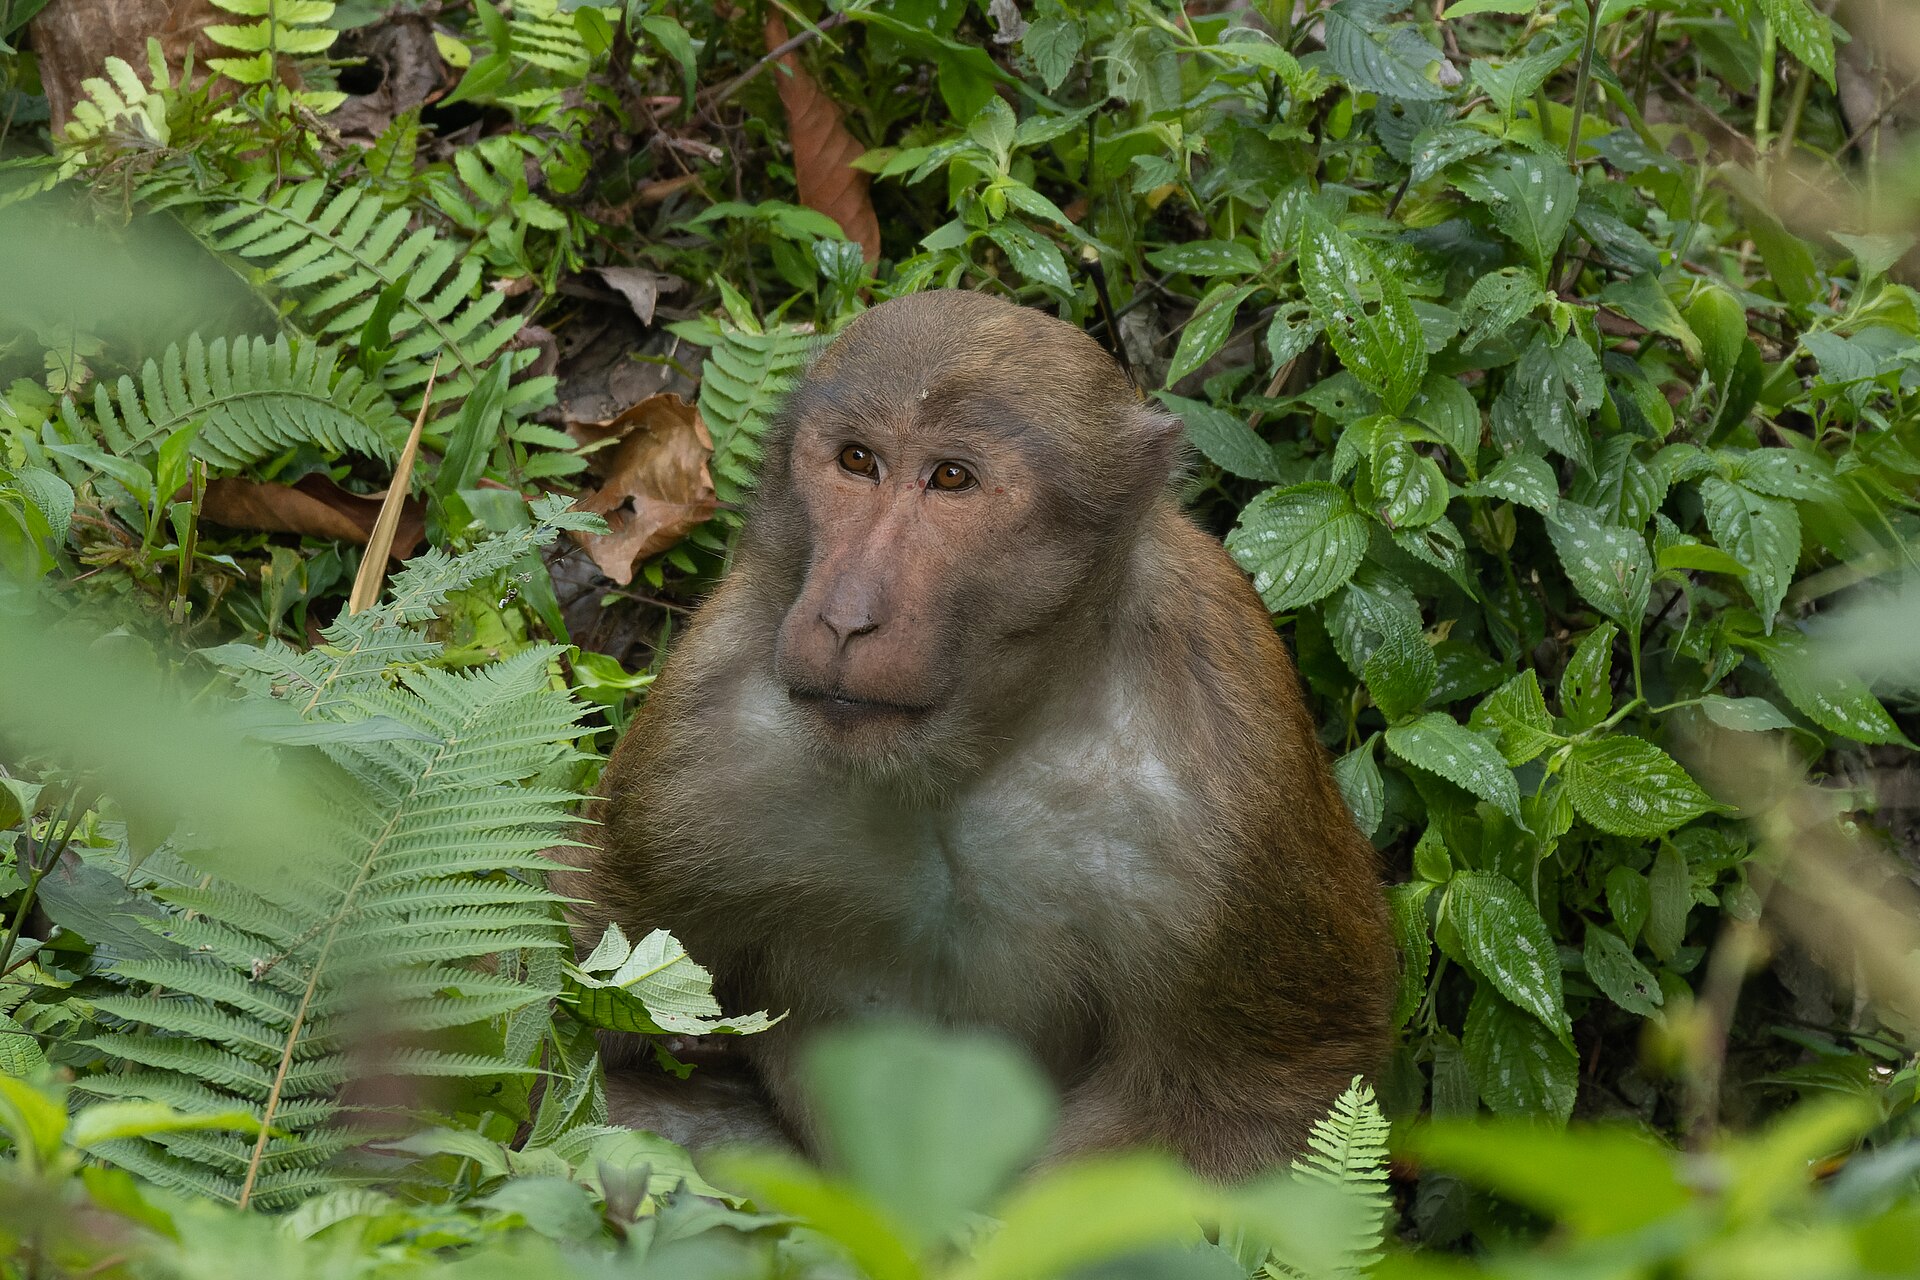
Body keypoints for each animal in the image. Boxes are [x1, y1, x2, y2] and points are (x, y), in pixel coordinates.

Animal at [554, 289, 1396, 1179]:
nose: (846, 617)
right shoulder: (701, 740)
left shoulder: (1230, 790)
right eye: (857, 461)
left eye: (951, 478)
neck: (968, 753)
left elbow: (1261, 1097)